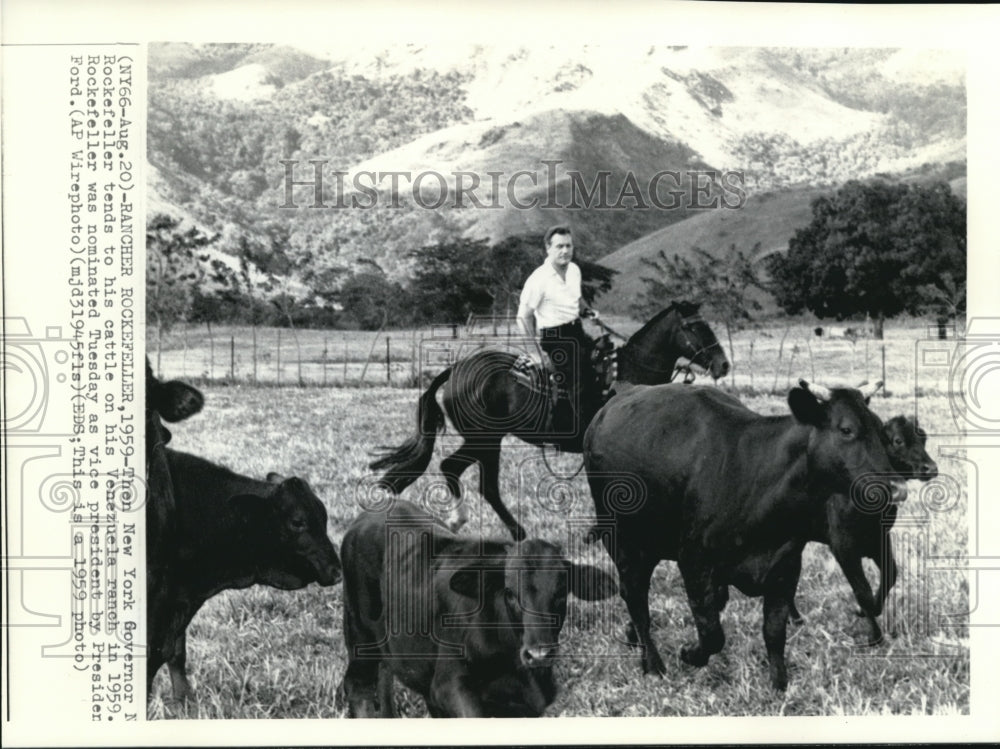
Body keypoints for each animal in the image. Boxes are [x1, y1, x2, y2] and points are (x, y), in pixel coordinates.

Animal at [144, 450, 340, 700]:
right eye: (298, 522)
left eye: (324, 517)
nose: (336, 571)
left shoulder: (180, 598)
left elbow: (175, 653)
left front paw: (184, 700)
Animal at [340, 500, 612, 716]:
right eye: (510, 593)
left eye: (561, 592)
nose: (539, 655)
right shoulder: (450, 686)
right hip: (359, 634)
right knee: (358, 686)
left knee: (384, 674)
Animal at [370, 300, 728, 540]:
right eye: (693, 327)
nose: (722, 364)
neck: (626, 377)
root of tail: (457, 369)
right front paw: (598, 532)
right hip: (485, 438)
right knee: (464, 474)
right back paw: (495, 528)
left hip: (486, 440)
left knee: (471, 477)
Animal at [584, 380, 912, 688]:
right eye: (846, 429)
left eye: (883, 432)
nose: (897, 488)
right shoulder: (694, 561)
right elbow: (712, 632)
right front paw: (690, 653)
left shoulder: (785, 566)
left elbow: (774, 632)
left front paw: (779, 687)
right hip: (623, 540)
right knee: (636, 598)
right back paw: (653, 664)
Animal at [788, 412, 936, 640]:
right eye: (898, 440)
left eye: (924, 438)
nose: (931, 468)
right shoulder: (842, 547)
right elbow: (862, 591)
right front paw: (874, 634)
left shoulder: (880, 538)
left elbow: (891, 574)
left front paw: (868, 611)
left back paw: (796, 619)